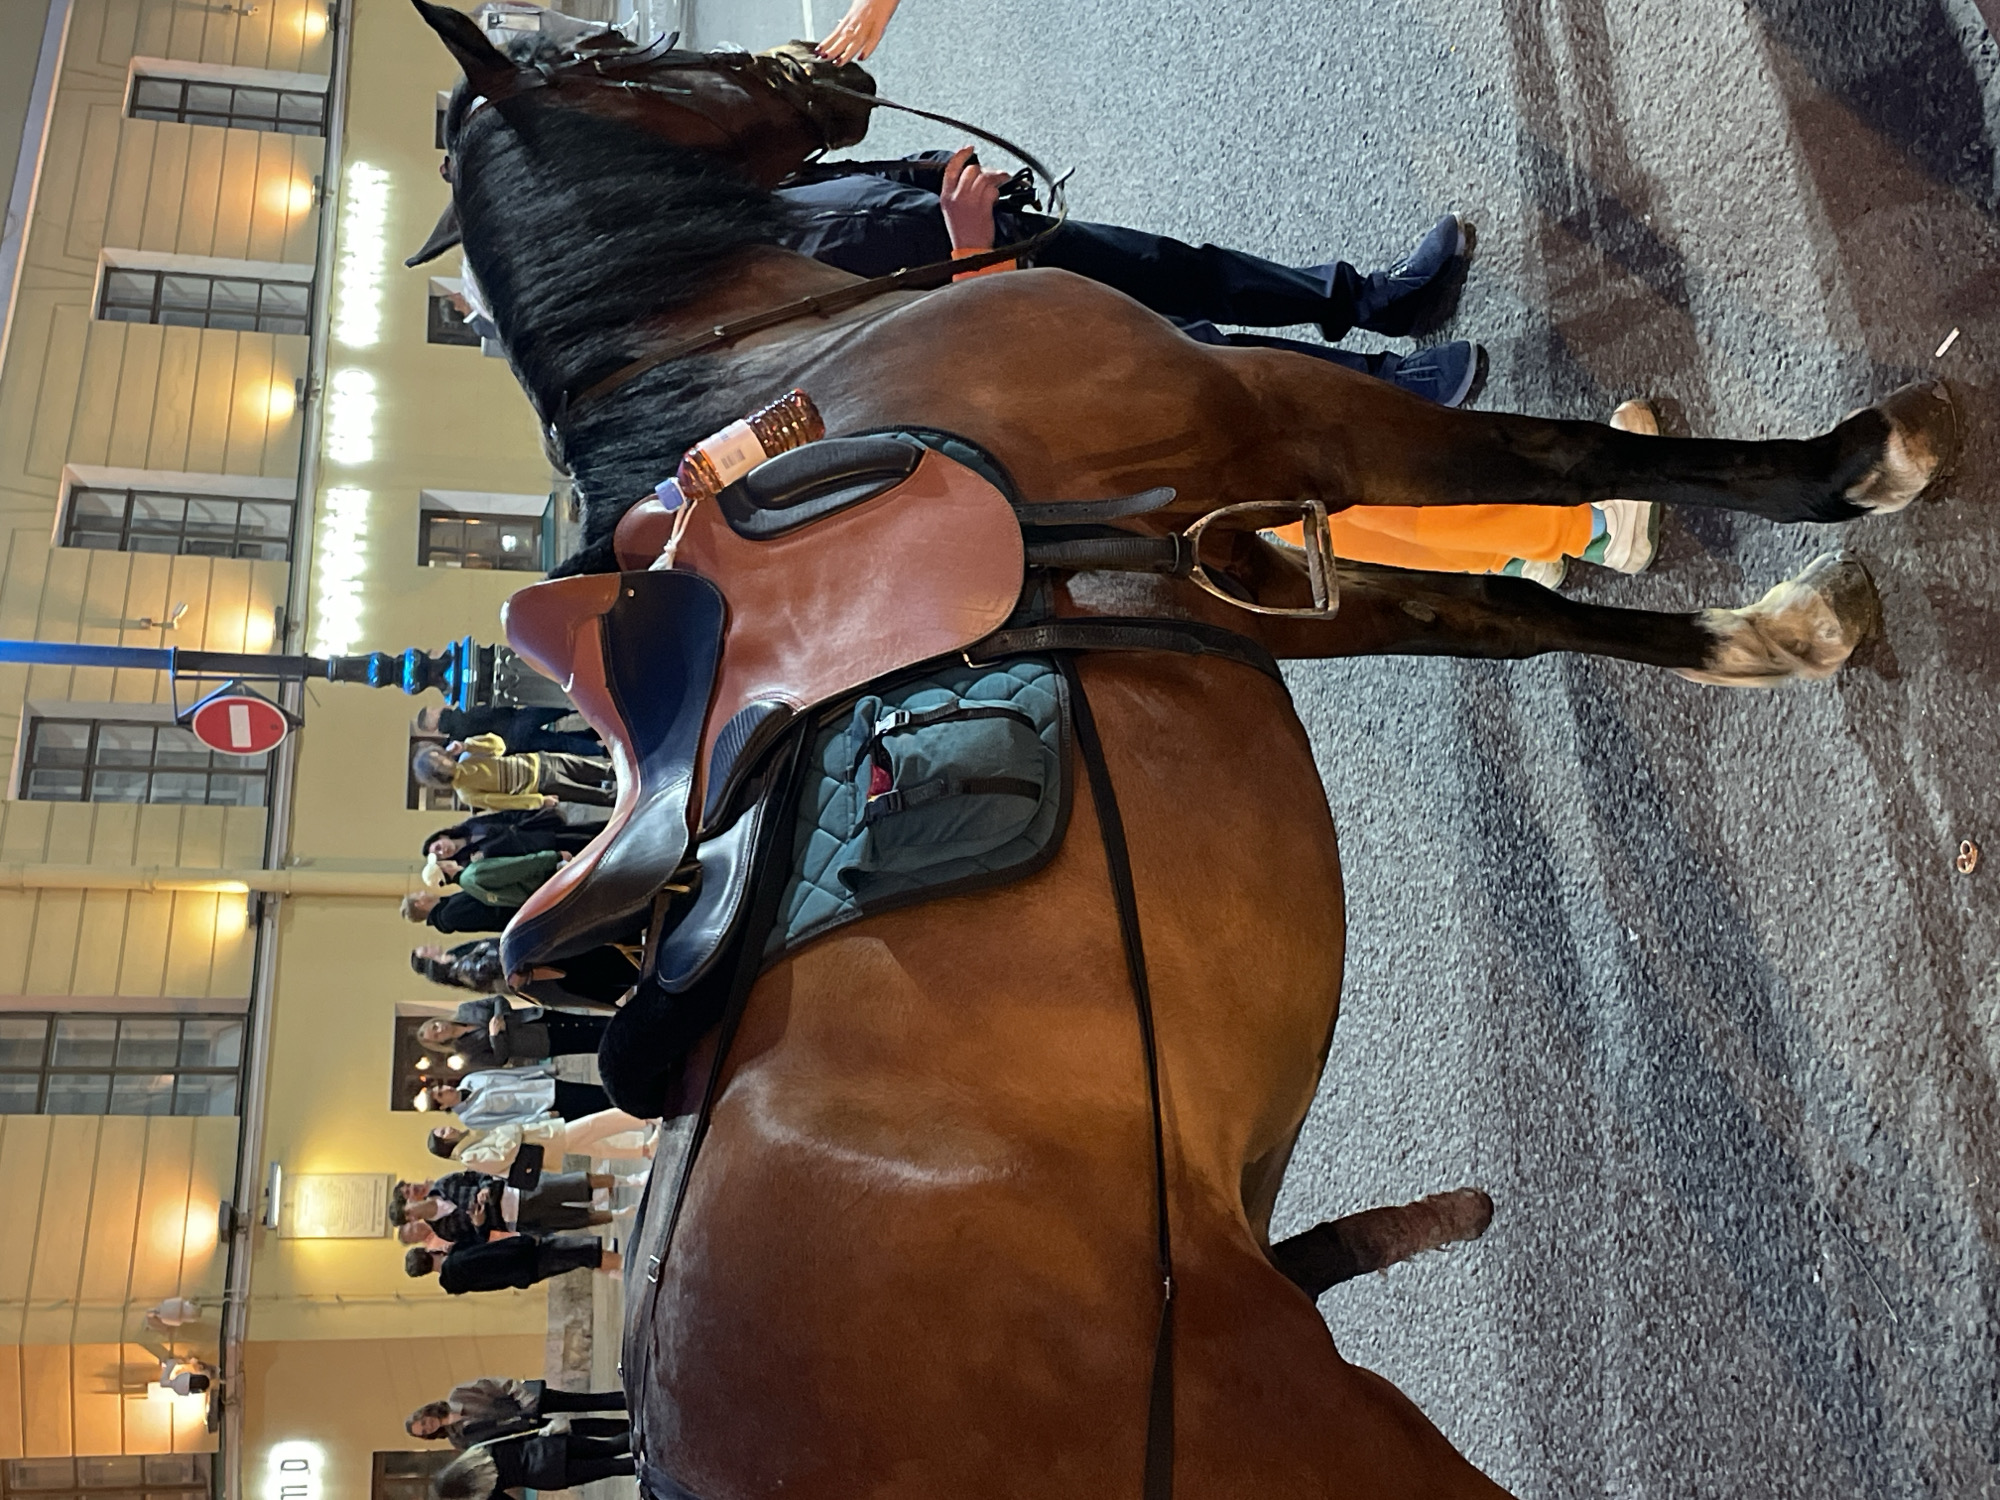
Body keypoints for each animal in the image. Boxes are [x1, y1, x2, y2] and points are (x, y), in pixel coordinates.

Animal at [409, 6, 1959, 1496]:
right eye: (615, 50)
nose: (823, 72)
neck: (805, 361)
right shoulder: (1284, 419)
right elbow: (1555, 456)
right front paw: (1853, 462)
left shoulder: (1234, 558)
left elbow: (1497, 615)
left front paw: (1762, 633)